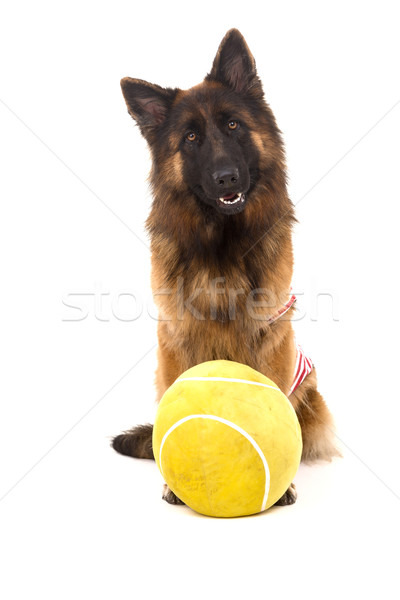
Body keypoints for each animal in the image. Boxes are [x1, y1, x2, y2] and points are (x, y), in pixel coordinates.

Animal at [112, 29, 340, 506]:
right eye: (191, 138)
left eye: (233, 125)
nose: (226, 178)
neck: (221, 246)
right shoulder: (176, 336)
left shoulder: (270, 334)